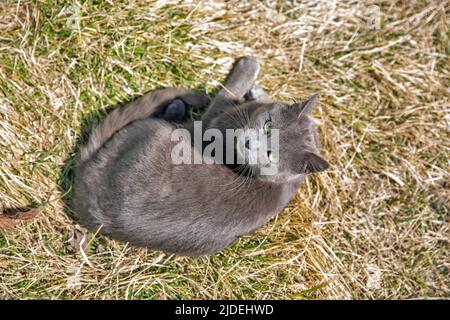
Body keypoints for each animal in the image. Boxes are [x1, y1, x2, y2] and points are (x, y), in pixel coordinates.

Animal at [72, 57, 328, 255]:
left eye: (271, 156)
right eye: (268, 126)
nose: (248, 142)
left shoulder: (210, 125)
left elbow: (225, 95)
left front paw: (248, 67)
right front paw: (258, 90)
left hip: (157, 132)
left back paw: (176, 108)